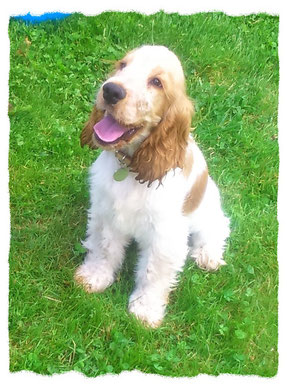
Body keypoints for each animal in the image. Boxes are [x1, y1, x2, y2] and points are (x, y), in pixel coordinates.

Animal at [75, 44, 232, 328]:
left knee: (218, 227)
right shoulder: (106, 213)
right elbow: (103, 249)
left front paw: (145, 311)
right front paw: (93, 277)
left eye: (157, 82)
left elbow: (152, 273)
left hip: (207, 209)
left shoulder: (165, 235)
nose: (111, 91)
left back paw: (208, 256)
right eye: (123, 65)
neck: (130, 167)